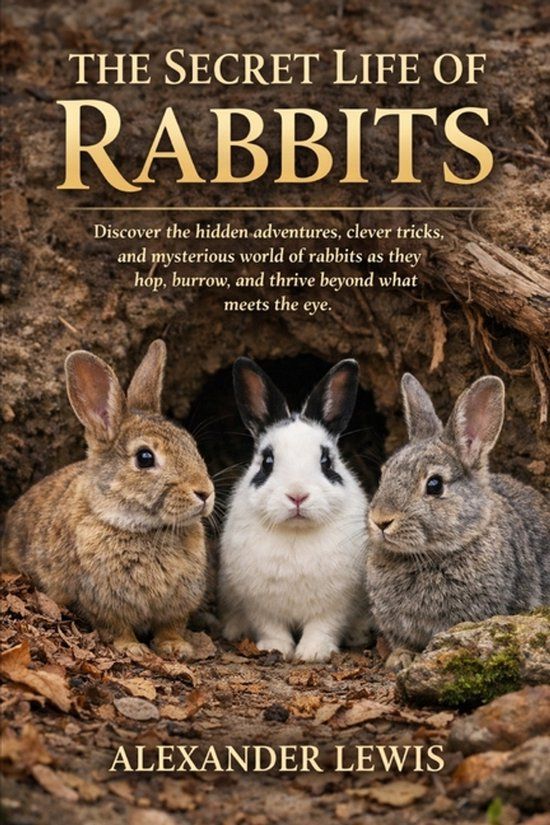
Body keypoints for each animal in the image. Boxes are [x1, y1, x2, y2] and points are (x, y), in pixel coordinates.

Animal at [2, 340, 215, 659]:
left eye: (191, 444)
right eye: (144, 457)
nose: (205, 492)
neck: (141, 527)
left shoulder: (179, 602)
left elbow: (171, 625)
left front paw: (176, 647)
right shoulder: (102, 601)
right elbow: (117, 627)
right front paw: (132, 649)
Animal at [219, 357, 372, 663]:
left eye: (326, 461)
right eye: (267, 461)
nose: (297, 495)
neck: (296, 533)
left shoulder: (336, 605)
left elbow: (322, 626)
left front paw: (313, 653)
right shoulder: (259, 604)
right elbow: (271, 627)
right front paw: (275, 648)